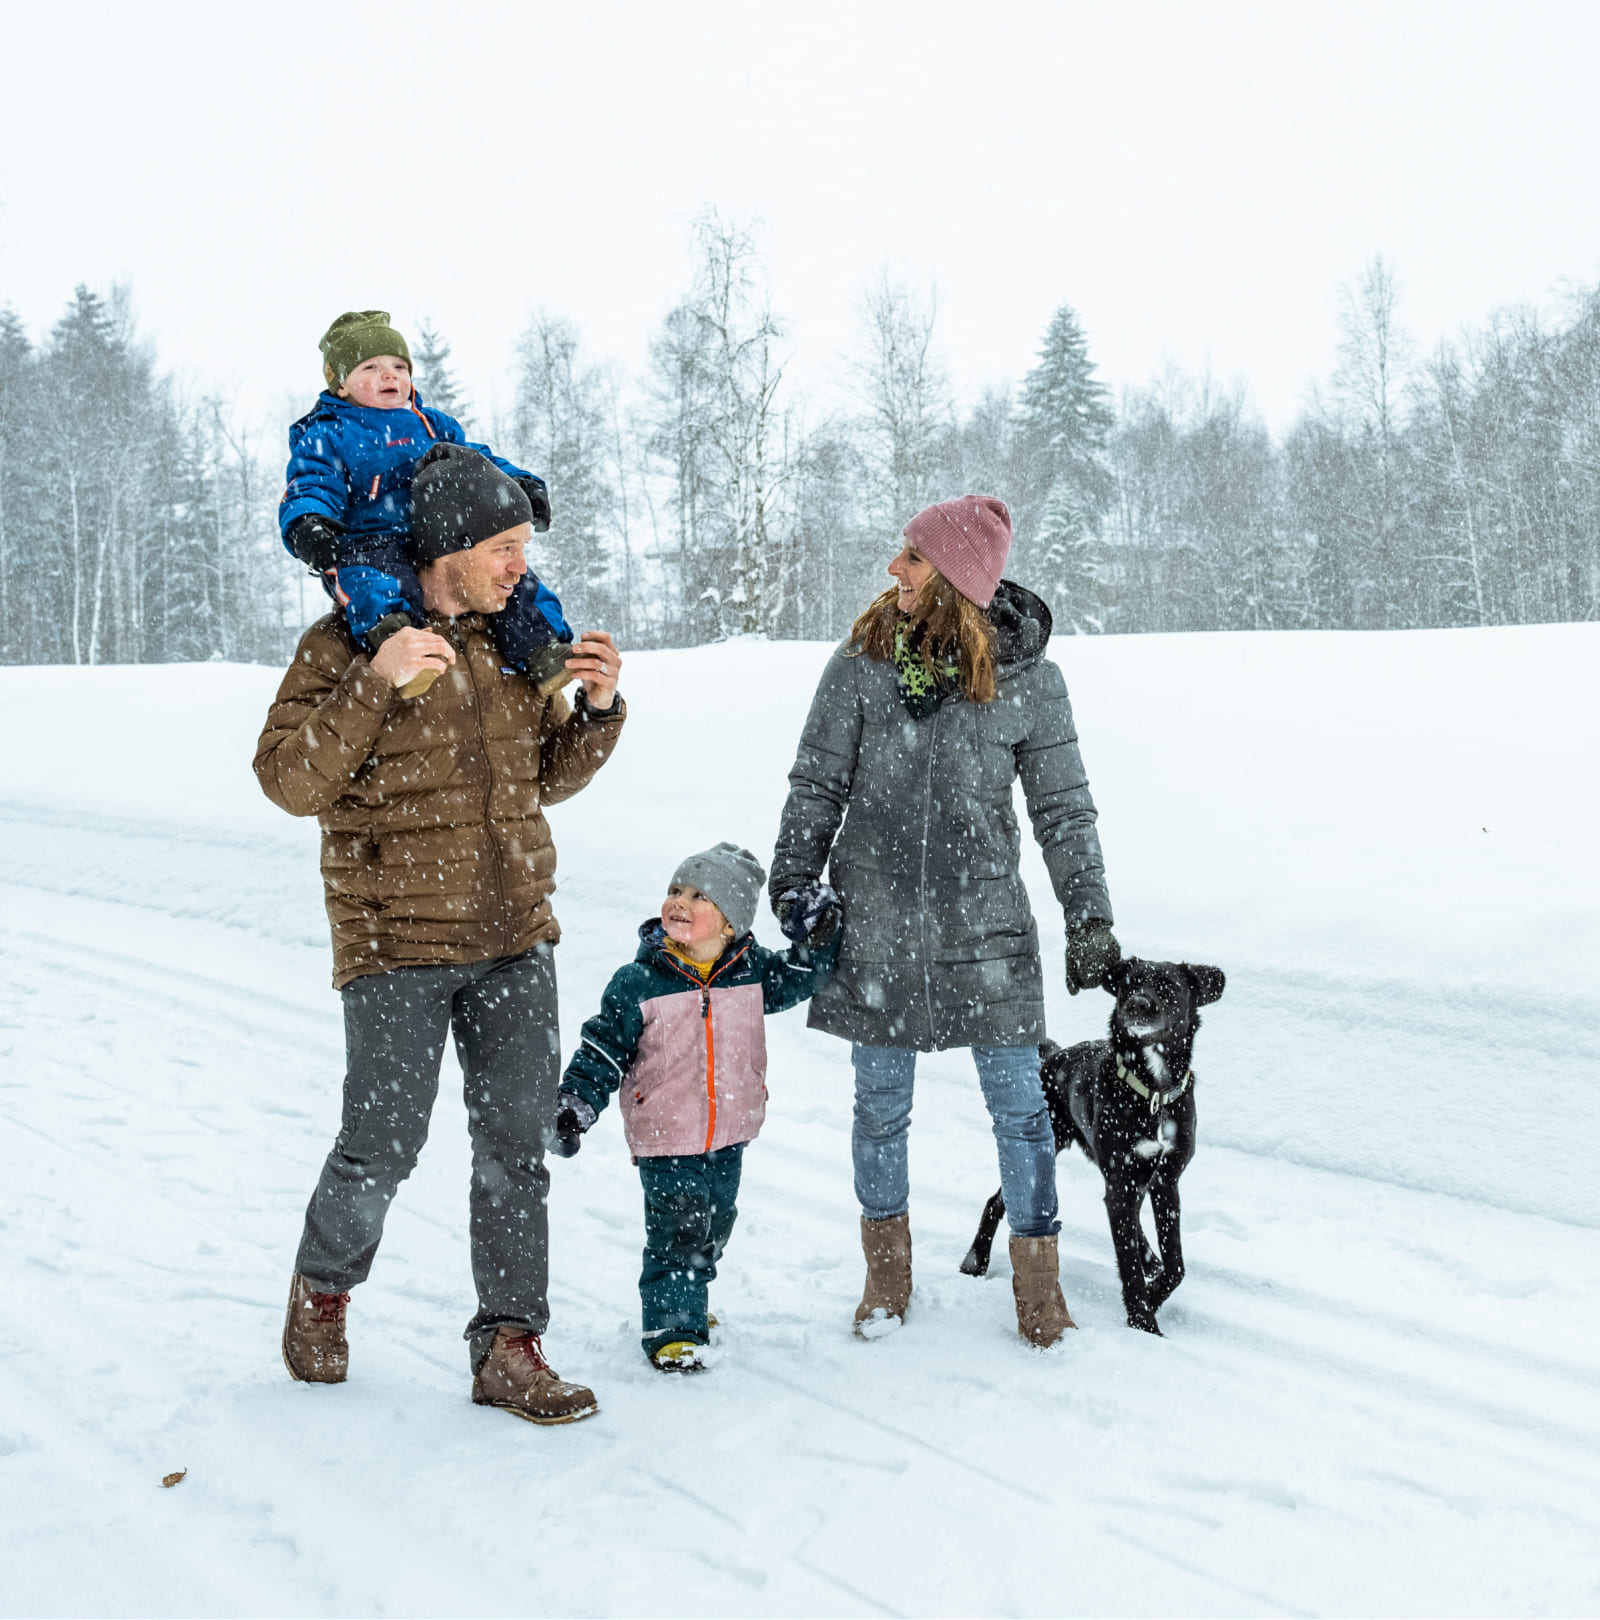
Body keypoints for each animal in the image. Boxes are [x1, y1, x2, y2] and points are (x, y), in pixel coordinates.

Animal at [965, 952, 1224, 1334]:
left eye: (1168, 986)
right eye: (1130, 984)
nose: (1138, 1003)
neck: (1153, 1092)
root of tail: (1053, 1055)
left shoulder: (1166, 1180)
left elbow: (1176, 1265)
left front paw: (1153, 1295)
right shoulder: (1123, 1179)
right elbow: (1129, 1264)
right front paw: (1143, 1323)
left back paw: (1151, 1260)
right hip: (1046, 1143)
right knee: (997, 1201)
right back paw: (975, 1261)